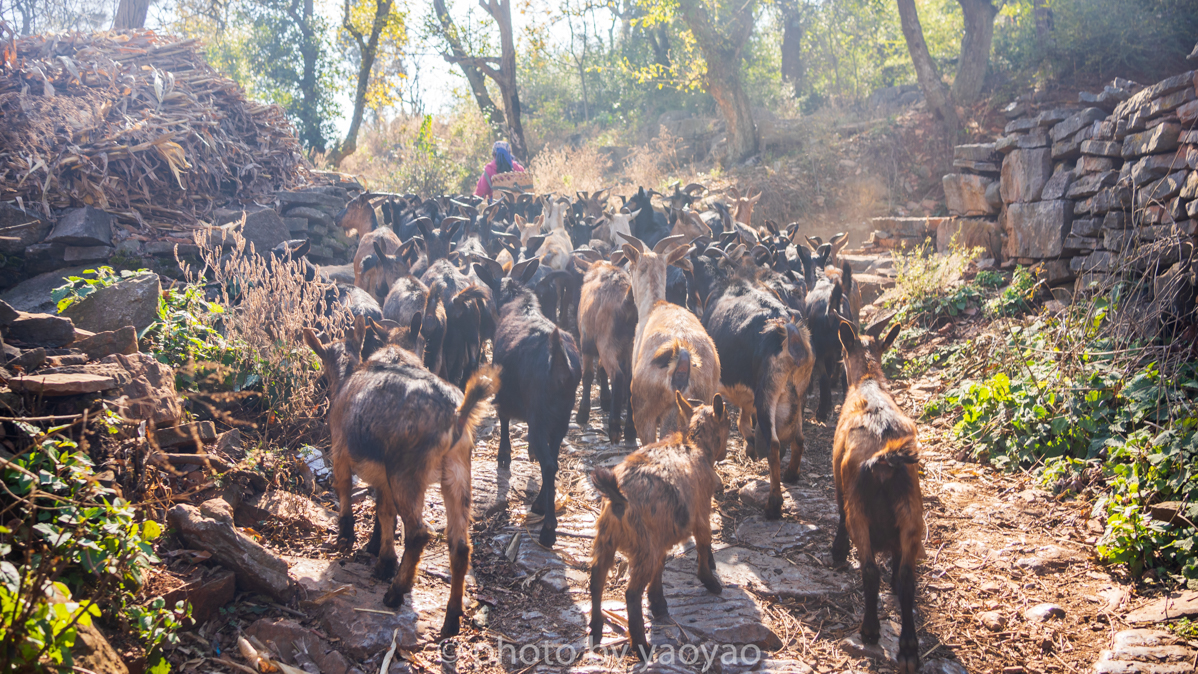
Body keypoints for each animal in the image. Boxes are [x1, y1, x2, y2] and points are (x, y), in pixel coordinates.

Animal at [306, 318, 503, 636]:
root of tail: (457, 415)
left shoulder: (340, 452)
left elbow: (345, 490)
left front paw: (349, 538)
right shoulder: (383, 478)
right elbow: (384, 512)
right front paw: (382, 557)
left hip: (407, 474)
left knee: (419, 533)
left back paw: (396, 593)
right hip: (457, 474)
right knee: (460, 546)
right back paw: (451, 619)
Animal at [589, 392, 728, 660]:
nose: (725, 454)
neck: (694, 445)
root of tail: (619, 496)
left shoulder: (663, 534)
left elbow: (661, 568)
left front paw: (658, 604)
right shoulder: (701, 513)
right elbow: (703, 544)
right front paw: (710, 581)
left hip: (607, 540)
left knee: (596, 579)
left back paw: (596, 629)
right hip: (644, 547)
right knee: (631, 593)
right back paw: (641, 645)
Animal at [833, 318, 924, 670]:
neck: (868, 382)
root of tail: (885, 458)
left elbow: (838, 512)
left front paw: (836, 551)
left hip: (861, 512)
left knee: (870, 571)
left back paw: (870, 629)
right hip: (912, 511)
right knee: (908, 578)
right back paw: (909, 646)